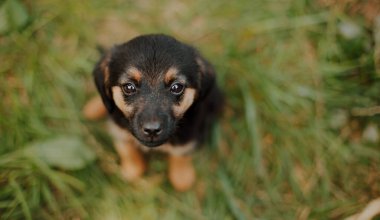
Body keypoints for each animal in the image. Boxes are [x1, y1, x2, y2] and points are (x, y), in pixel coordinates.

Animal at [85, 34, 223, 191]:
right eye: (129, 87)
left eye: (177, 87)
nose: (152, 130)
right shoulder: (118, 128)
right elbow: (126, 149)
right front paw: (132, 169)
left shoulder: (189, 133)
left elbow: (181, 153)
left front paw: (182, 177)